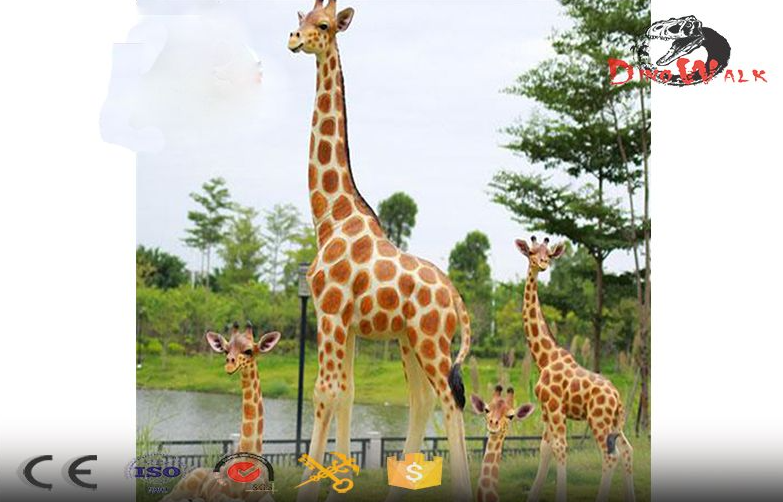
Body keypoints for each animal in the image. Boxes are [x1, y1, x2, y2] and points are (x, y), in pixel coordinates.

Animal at [287, 2, 472, 501]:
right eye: (299, 17)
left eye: (323, 25)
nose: (294, 40)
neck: (330, 217)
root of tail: (457, 300)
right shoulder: (346, 322)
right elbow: (346, 392)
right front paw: (340, 480)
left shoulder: (330, 311)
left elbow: (325, 392)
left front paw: (312, 487)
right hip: (409, 340)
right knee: (422, 402)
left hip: (431, 341)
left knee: (450, 403)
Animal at [515, 237, 635, 502]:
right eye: (531, 252)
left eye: (549, 253)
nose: (543, 263)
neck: (545, 357)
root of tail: (618, 399)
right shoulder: (546, 410)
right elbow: (545, 449)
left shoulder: (555, 407)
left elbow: (560, 449)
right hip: (614, 423)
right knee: (627, 450)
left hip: (598, 420)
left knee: (611, 455)